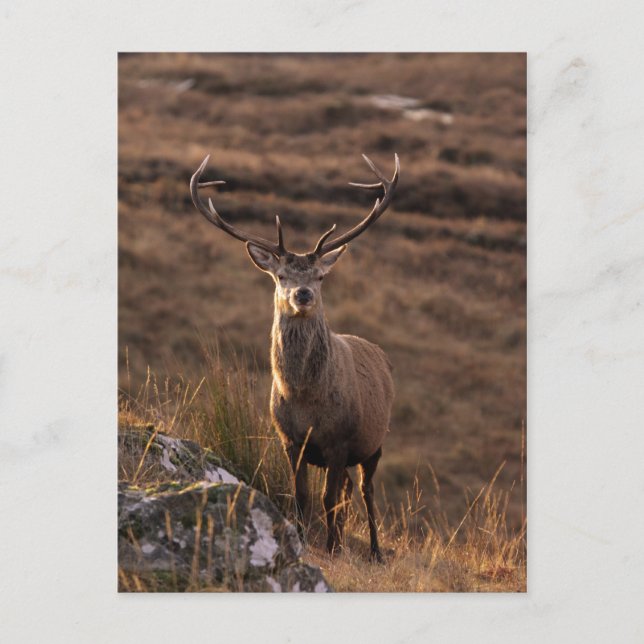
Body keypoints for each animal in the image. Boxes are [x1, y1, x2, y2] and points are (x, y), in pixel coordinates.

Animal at [190, 152, 400, 562]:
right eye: (281, 276)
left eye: (320, 277)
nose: (303, 294)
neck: (305, 399)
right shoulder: (290, 440)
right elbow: (303, 496)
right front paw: (303, 538)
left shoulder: (339, 439)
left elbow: (327, 498)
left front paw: (333, 548)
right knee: (348, 490)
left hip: (374, 441)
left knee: (365, 491)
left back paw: (374, 550)